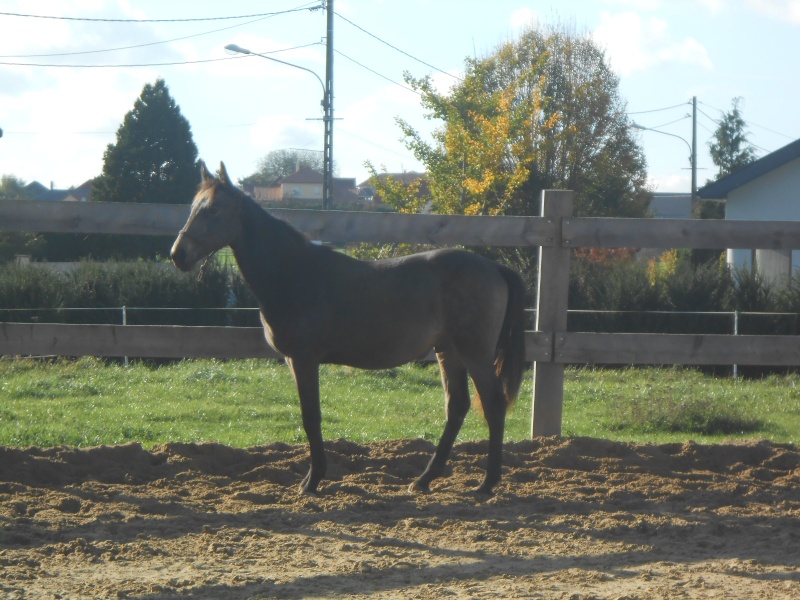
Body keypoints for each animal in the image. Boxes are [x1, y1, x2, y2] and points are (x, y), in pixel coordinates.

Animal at [172, 162, 528, 494]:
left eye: (213, 209)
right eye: (193, 207)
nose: (178, 255)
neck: (293, 272)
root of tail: (494, 267)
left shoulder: (303, 359)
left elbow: (311, 417)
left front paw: (312, 480)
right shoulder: (296, 360)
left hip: (474, 353)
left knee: (493, 404)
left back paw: (487, 483)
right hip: (448, 351)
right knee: (457, 407)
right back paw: (424, 479)